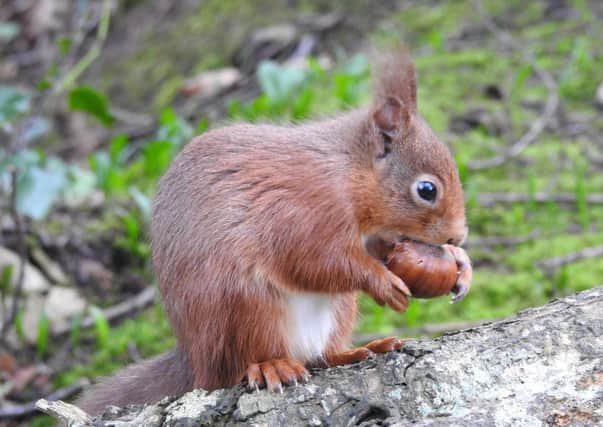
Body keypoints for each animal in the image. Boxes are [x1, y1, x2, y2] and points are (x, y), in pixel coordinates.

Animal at [78, 49, 470, 414]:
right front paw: (383, 283)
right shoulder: (301, 213)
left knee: (321, 356)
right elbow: (315, 261)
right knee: (238, 365)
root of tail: (193, 358)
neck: (349, 173)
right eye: (427, 190)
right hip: (244, 305)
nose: (458, 236)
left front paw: (461, 265)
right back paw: (272, 365)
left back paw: (361, 350)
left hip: (337, 309)